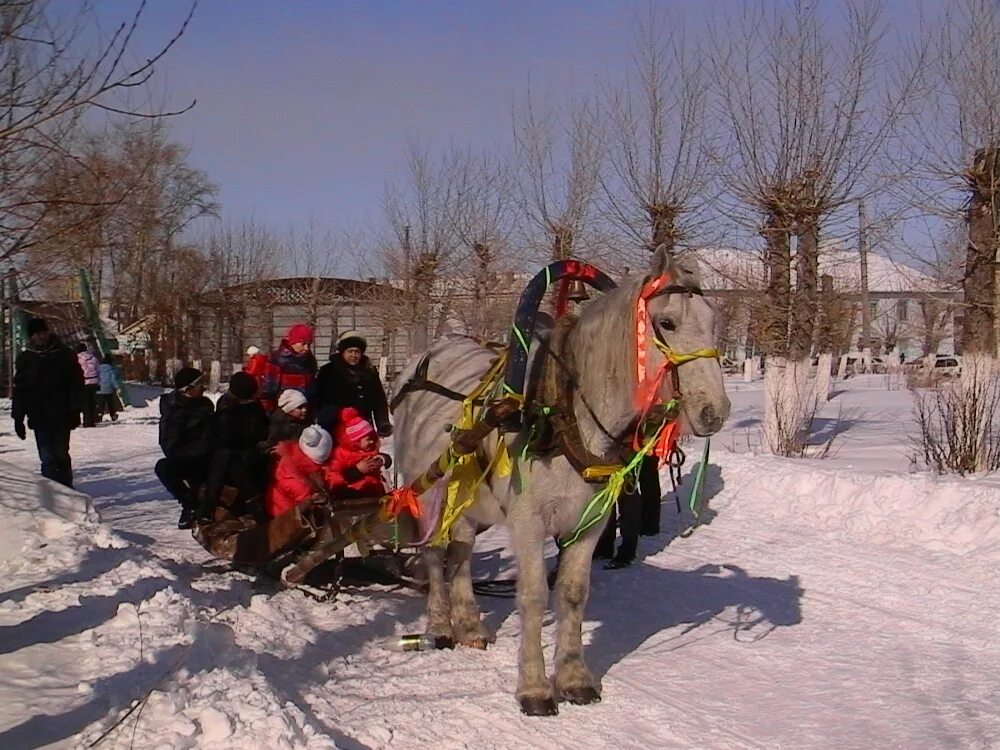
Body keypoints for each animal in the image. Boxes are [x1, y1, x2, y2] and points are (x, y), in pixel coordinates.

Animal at [390, 248, 728, 716]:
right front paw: (534, 688)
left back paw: (470, 624)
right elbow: (533, 596)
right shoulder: (528, 521)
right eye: (667, 322)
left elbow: (571, 593)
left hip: (470, 501)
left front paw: (573, 679)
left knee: (461, 553)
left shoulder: (590, 522)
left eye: (714, 321)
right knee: (436, 556)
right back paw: (440, 625)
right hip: (430, 495)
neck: (566, 415)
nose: (716, 411)